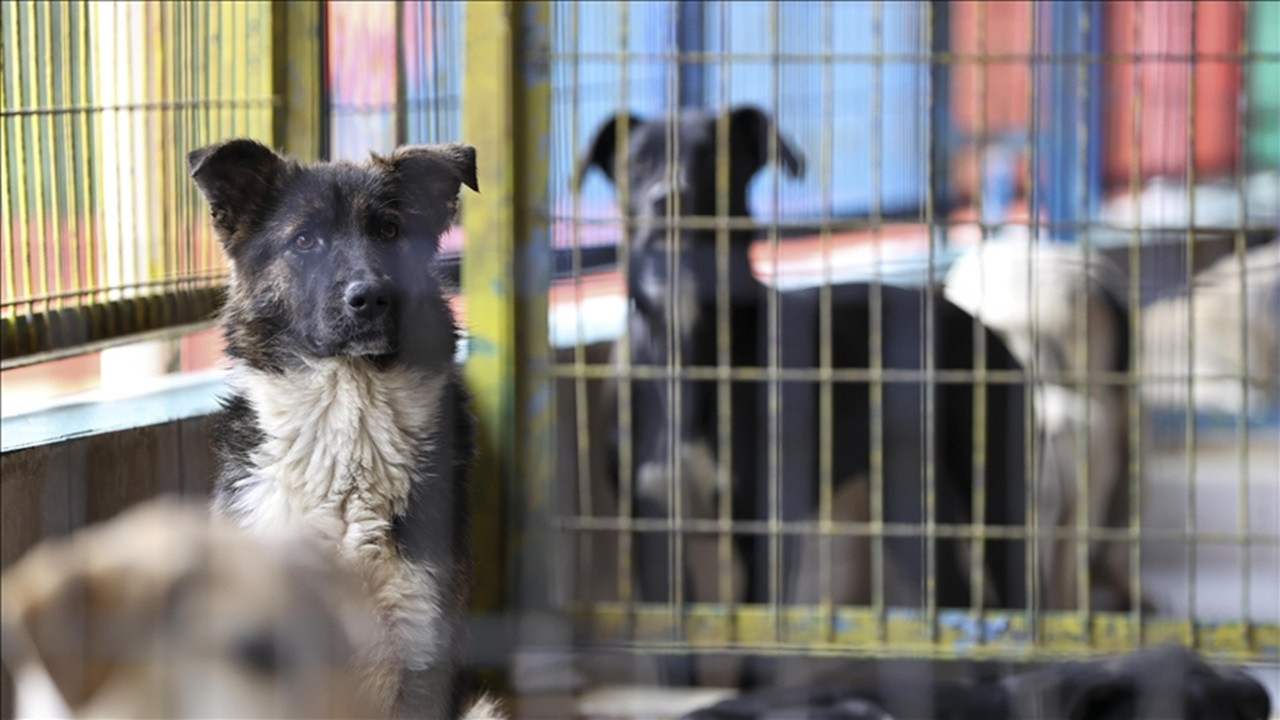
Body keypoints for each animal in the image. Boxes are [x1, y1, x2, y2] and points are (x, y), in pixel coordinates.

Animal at [581, 106, 1029, 681]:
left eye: (714, 156)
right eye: (637, 162)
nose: (669, 198)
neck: (683, 337)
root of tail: (971, 319)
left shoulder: (765, 527)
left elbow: (756, 637)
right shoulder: (651, 524)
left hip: (992, 497)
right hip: (906, 506)